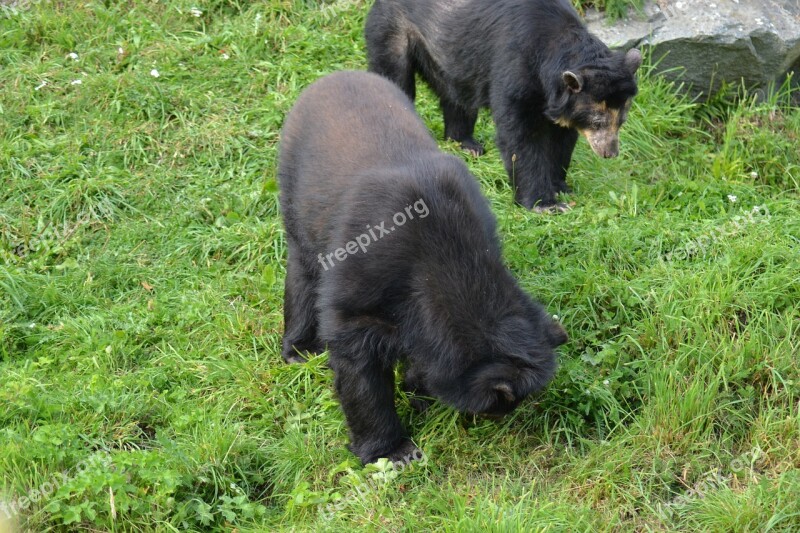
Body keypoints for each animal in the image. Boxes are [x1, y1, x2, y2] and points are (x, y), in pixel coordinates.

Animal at [278, 71, 564, 466]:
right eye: (496, 406)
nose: (501, 415)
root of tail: (330, 78)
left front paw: (416, 388)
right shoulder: (361, 284)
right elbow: (356, 360)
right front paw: (394, 450)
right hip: (296, 196)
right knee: (303, 270)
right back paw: (299, 350)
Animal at [366, 0, 640, 211]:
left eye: (621, 121)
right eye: (598, 121)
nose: (609, 153)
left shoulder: (562, 106)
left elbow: (562, 139)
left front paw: (562, 187)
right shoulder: (514, 67)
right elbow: (520, 135)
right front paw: (545, 204)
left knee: (458, 96)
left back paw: (467, 144)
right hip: (393, 31)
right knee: (394, 77)